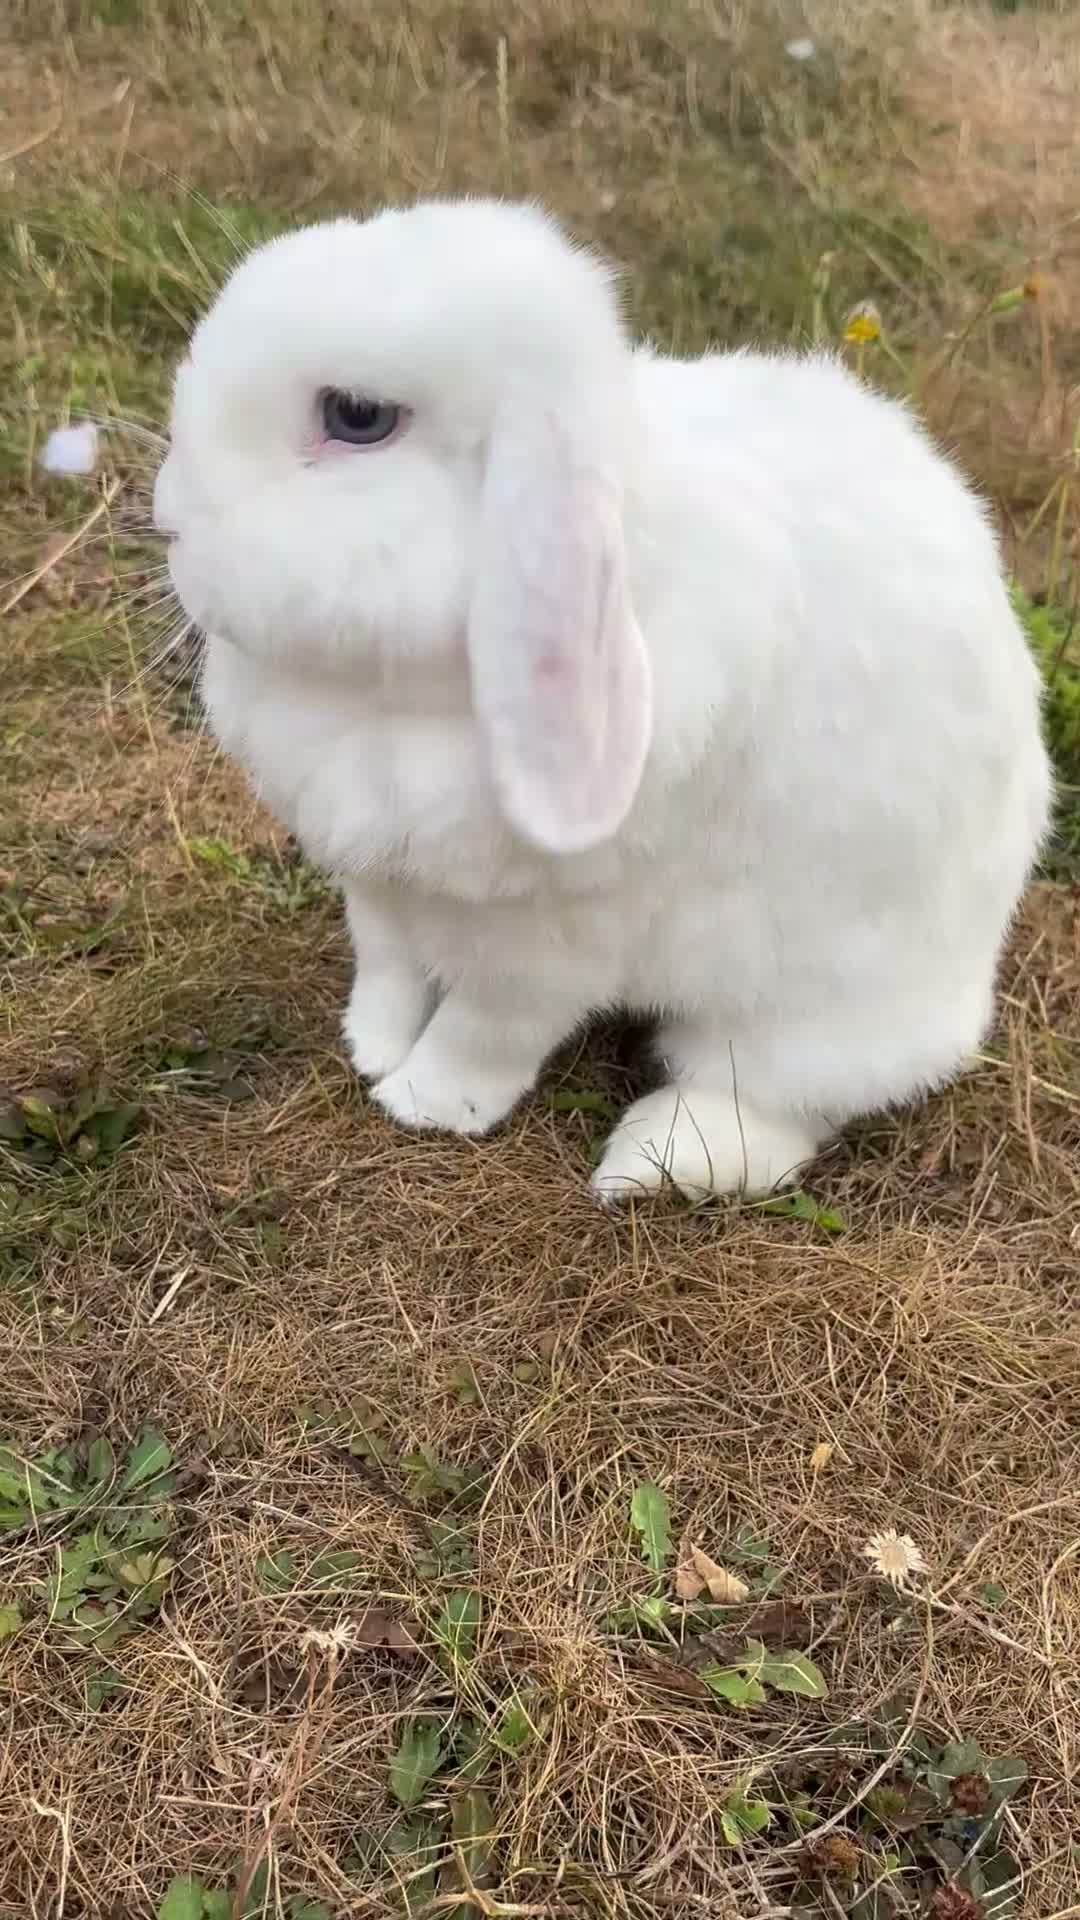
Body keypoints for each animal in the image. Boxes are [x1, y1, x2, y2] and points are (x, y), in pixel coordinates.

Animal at [153, 196, 1051, 1201]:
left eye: (356, 416)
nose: (170, 520)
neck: (394, 699)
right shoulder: (379, 884)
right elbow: (386, 967)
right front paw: (370, 1047)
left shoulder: (551, 942)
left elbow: (487, 1026)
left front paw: (426, 1102)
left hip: (810, 1015)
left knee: (778, 1107)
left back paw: (646, 1162)